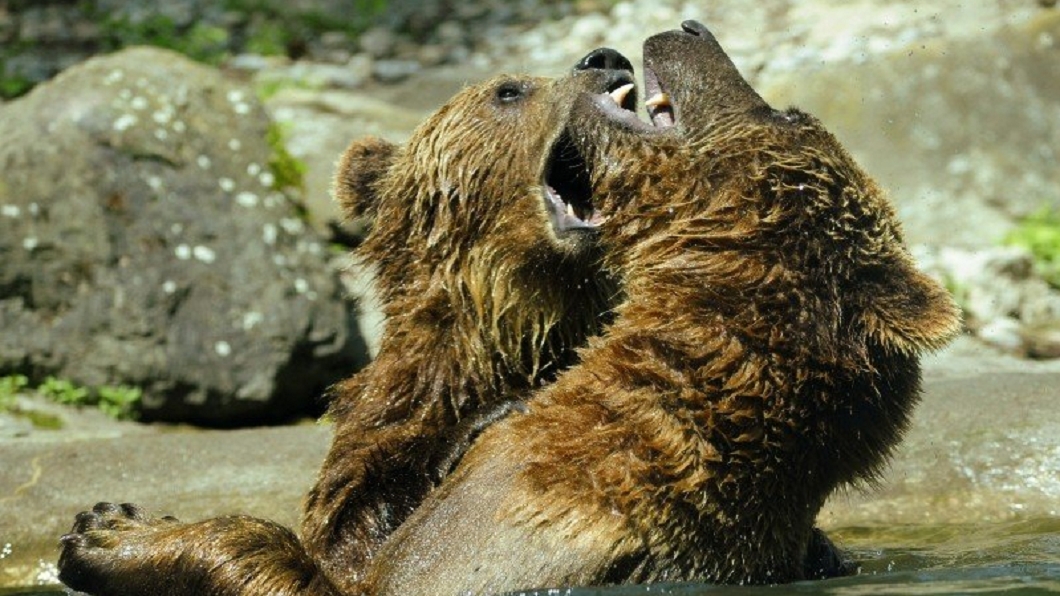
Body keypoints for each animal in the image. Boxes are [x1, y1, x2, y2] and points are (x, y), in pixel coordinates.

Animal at [56, 48, 640, 596]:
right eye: (509, 90)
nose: (605, 59)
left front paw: (111, 532)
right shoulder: (389, 420)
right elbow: (343, 531)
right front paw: (109, 527)